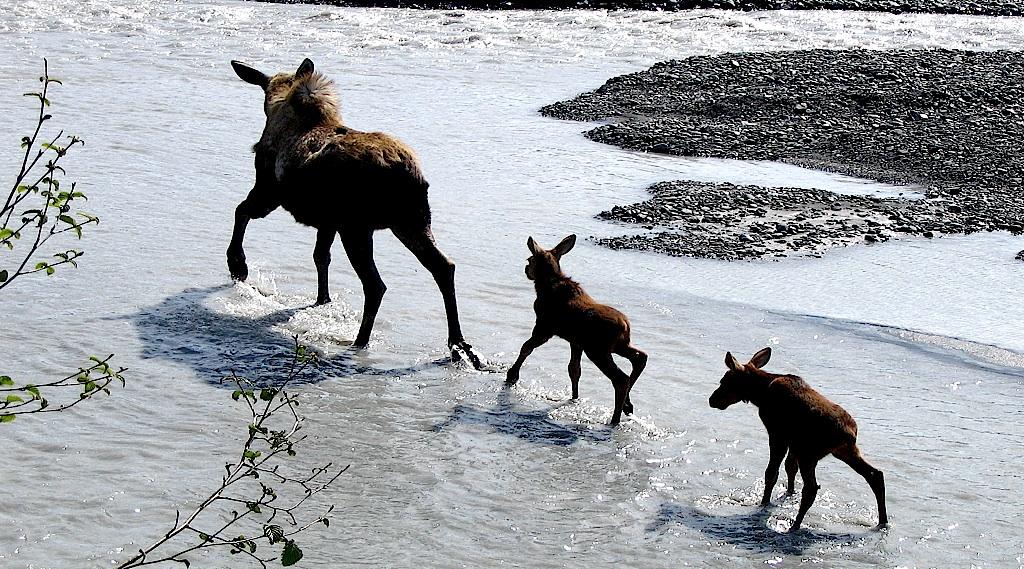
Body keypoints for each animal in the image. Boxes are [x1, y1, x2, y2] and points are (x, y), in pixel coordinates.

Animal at [229, 58, 483, 368]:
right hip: (411, 222)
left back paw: (360, 341)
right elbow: (320, 257)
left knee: (376, 285)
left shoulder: (268, 192)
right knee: (444, 266)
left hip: (358, 228)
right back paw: (458, 344)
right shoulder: (327, 222)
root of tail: (406, 173)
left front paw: (237, 265)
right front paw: (323, 299)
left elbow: (240, 211)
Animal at [505, 233, 647, 423]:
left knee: (621, 378)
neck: (544, 286)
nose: (526, 269)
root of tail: (626, 326)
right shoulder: (575, 342)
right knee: (640, 358)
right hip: (618, 346)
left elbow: (526, 348)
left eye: (530, 259)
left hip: (597, 350)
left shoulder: (544, 327)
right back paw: (627, 405)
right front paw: (574, 397)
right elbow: (574, 370)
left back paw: (615, 419)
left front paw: (512, 375)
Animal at [712, 345, 888, 532]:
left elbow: (772, 473)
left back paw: (795, 525)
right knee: (875, 475)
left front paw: (764, 502)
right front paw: (789, 492)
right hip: (845, 452)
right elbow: (790, 467)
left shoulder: (778, 434)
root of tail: (850, 433)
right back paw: (883, 521)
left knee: (811, 488)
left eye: (725, 381)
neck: (760, 394)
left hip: (809, 454)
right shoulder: (793, 442)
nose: (712, 399)